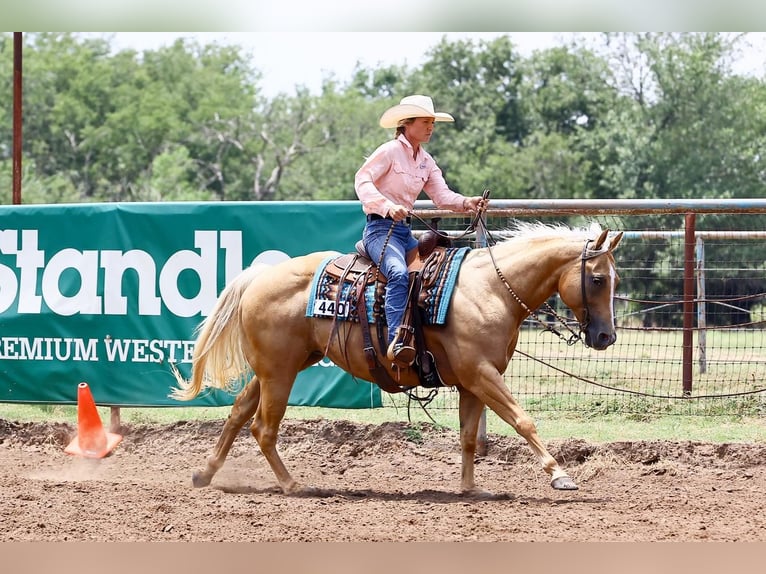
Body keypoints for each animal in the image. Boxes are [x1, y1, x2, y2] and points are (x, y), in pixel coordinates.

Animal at [172, 223, 624, 498]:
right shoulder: (482, 373)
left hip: (275, 369)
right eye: (598, 278)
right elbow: (522, 420)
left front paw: (469, 489)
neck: (491, 288)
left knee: (237, 414)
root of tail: (257, 277)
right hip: (279, 373)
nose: (607, 337)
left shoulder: (472, 380)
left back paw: (205, 473)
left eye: (614, 278)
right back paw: (293, 485)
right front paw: (560, 474)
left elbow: (469, 437)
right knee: (262, 428)